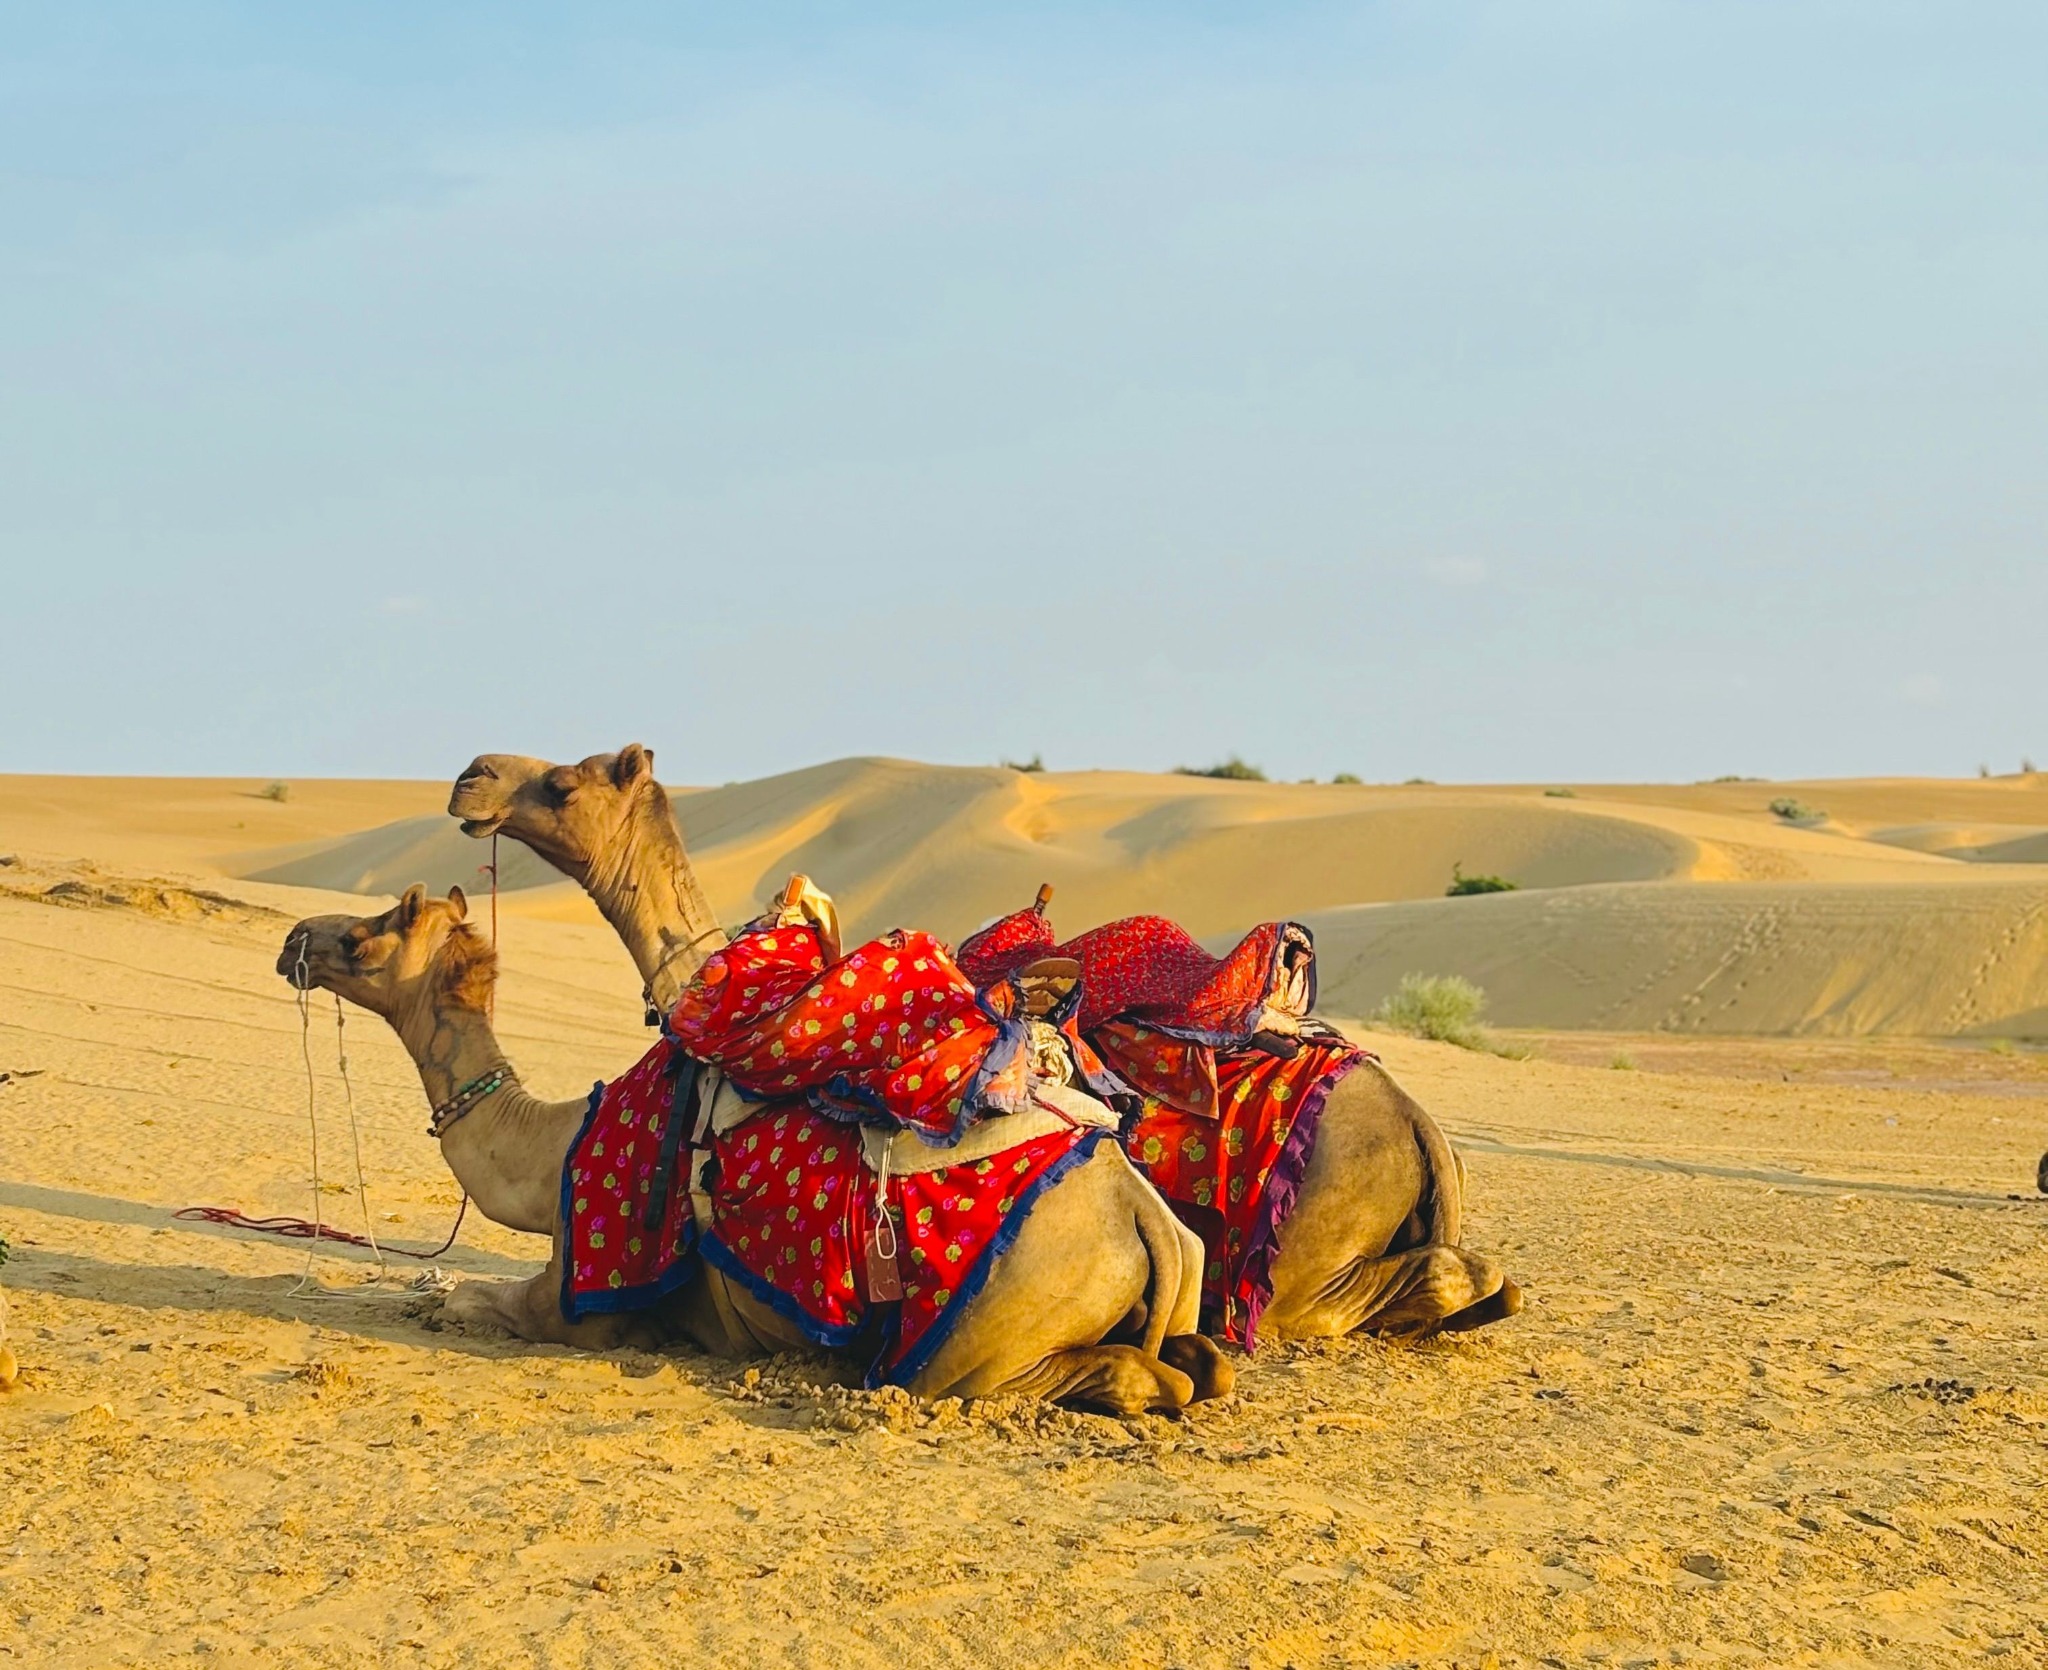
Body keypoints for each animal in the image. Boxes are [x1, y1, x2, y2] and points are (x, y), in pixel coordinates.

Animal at [277, 885, 1232, 1412]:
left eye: (365, 934)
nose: (294, 939)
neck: (552, 1149)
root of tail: (1143, 1214)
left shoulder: (582, 1302)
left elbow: (472, 1300)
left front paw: (436, 1296)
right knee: (1197, 1366)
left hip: (979, 1345)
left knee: (1124, 1379)